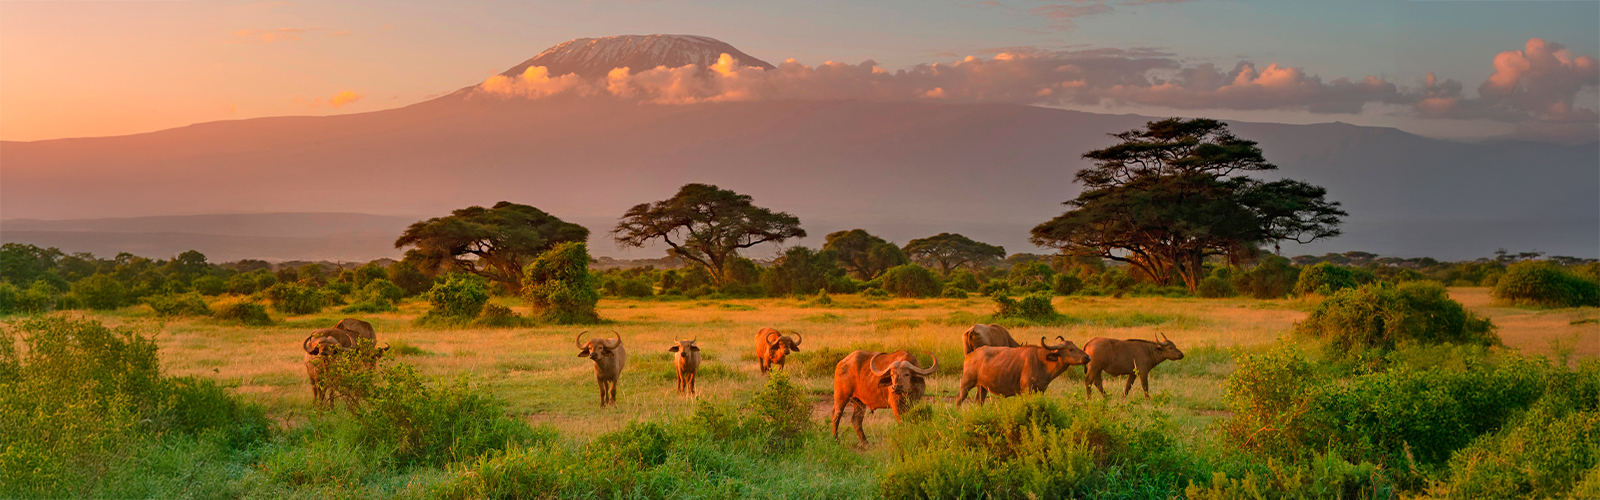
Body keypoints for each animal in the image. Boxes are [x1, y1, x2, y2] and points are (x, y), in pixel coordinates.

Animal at [953, 338, 1094, 403]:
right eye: (1070, 349)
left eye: (1075, 346)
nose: (1088, 357)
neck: (1043, 361)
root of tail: (970, 355)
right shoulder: (1027, 390)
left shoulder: (1041, 390)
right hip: (966, 383)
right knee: (959, 398)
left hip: (982, 386)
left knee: (979, 400)